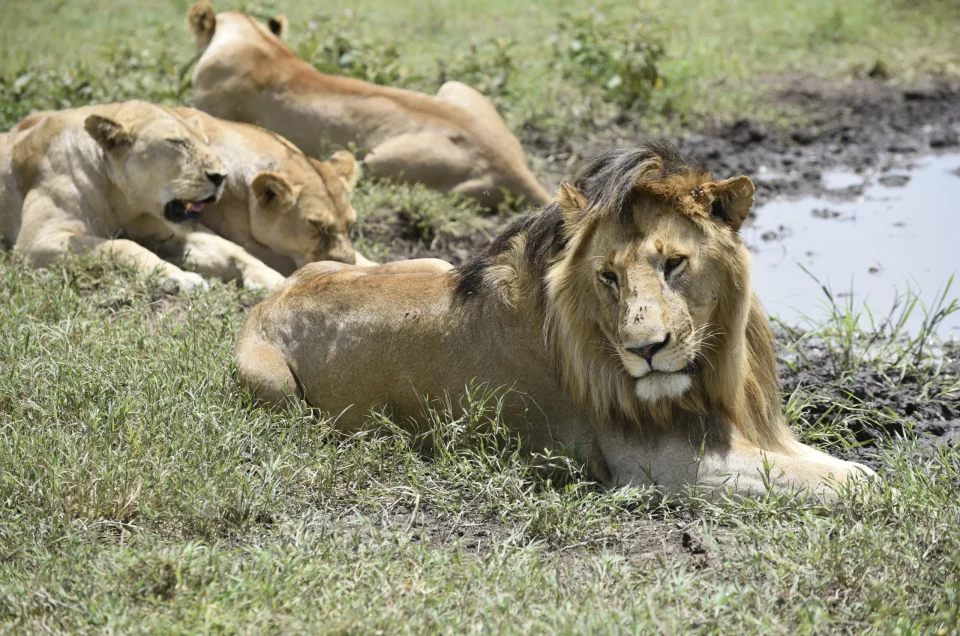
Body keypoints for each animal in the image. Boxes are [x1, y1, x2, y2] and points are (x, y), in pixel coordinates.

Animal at [1, 101, 287, 291]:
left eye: (205, 143)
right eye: (177, 143)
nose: (221, 176)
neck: (124, 200)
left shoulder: (172, 232)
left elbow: (232, 249)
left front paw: (274, 278)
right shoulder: (36, 242)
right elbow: (122, 245)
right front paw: (179, 277)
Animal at [234, 142, 876, 500]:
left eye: (673, 263)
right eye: (608, 277)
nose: (645, 349)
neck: (714, 367)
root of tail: (270, 299)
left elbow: (845, 469)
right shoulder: (662, 467)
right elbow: (854, 485)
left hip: (433, 264)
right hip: (272, 386)